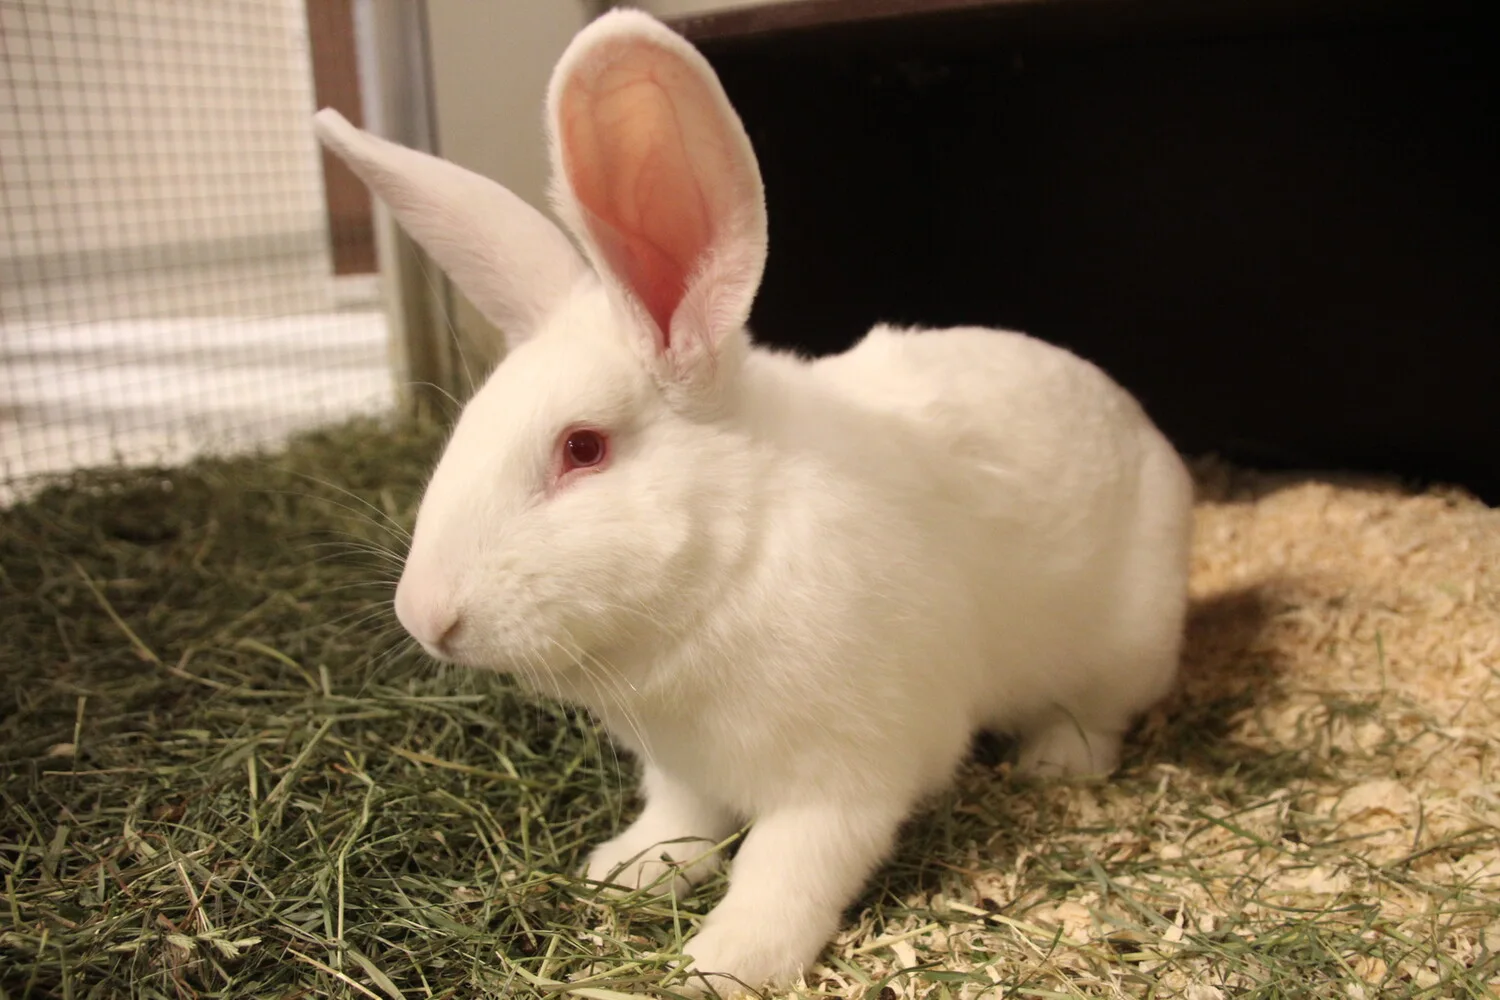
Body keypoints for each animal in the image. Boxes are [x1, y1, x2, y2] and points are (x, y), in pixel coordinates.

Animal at [313, 7, 1193, 994]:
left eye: (583, 448)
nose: (425, 617)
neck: (724, 570)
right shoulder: (682, 772)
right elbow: (680, 827)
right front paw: (623, 872)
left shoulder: (846, 778)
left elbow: (786, 870)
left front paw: (725, 962)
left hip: (1125, 646)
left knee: (1100, 713)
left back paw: (1056, 761)